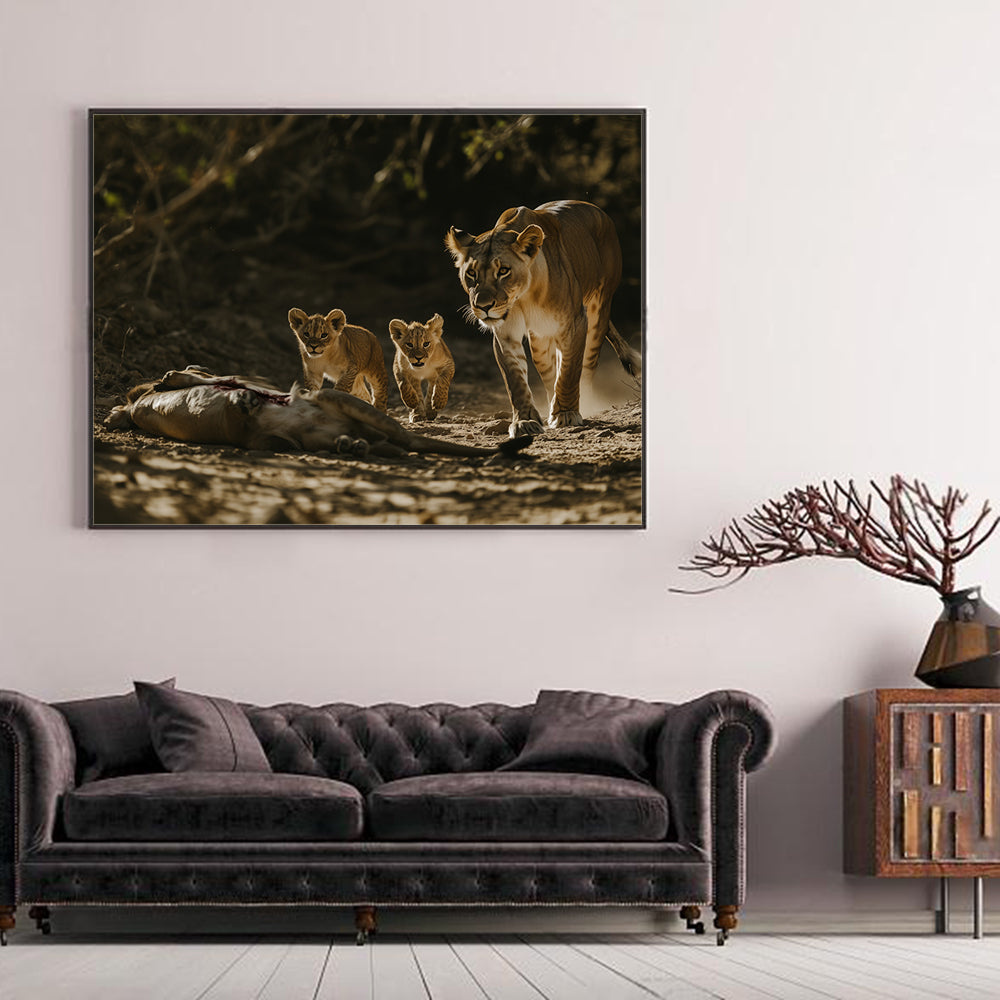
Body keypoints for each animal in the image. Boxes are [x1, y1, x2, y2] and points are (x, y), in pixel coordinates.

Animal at [445, 199, 640, 438]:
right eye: (471, 273)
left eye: (503, 271)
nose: (484, 306)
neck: (523, 298)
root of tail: (597, 210)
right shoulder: (505, 334)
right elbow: (516, 381)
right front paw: (524, 421)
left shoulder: (574, 324)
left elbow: (569, 373)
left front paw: (566, 414)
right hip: (539, 340)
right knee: (550, 374)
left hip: (598, 314)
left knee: (585, 367)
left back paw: (583, 405)